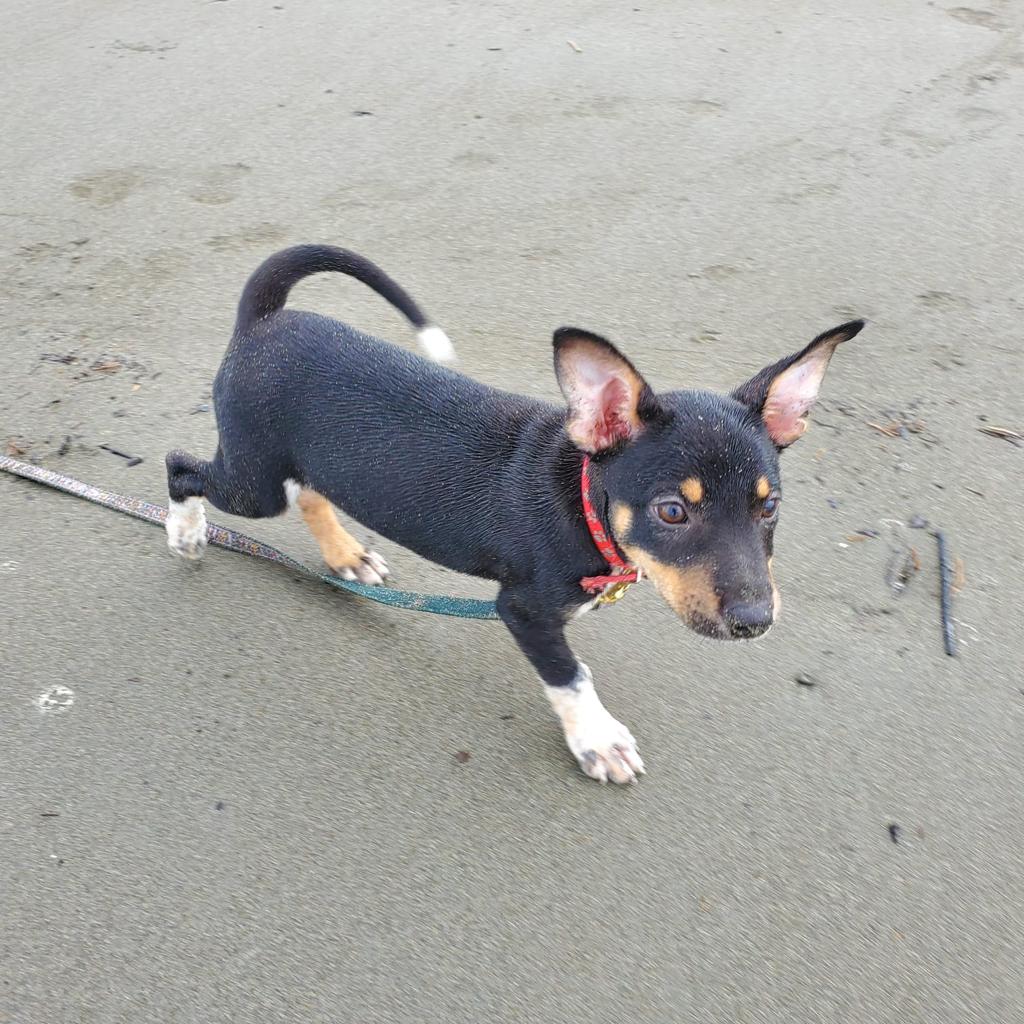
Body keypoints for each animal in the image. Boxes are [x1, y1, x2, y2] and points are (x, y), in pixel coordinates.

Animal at [167, 245, 864, 782]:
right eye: (671, 512)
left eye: (769, 505)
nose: (755, 621)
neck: (579, 504)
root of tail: (262, 324)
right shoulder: (523, 609)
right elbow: (570, 676)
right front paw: (598, 741)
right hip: (253, 483)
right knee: (181, 466)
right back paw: (186, 531)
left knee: (309, 491)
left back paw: (346, 556)